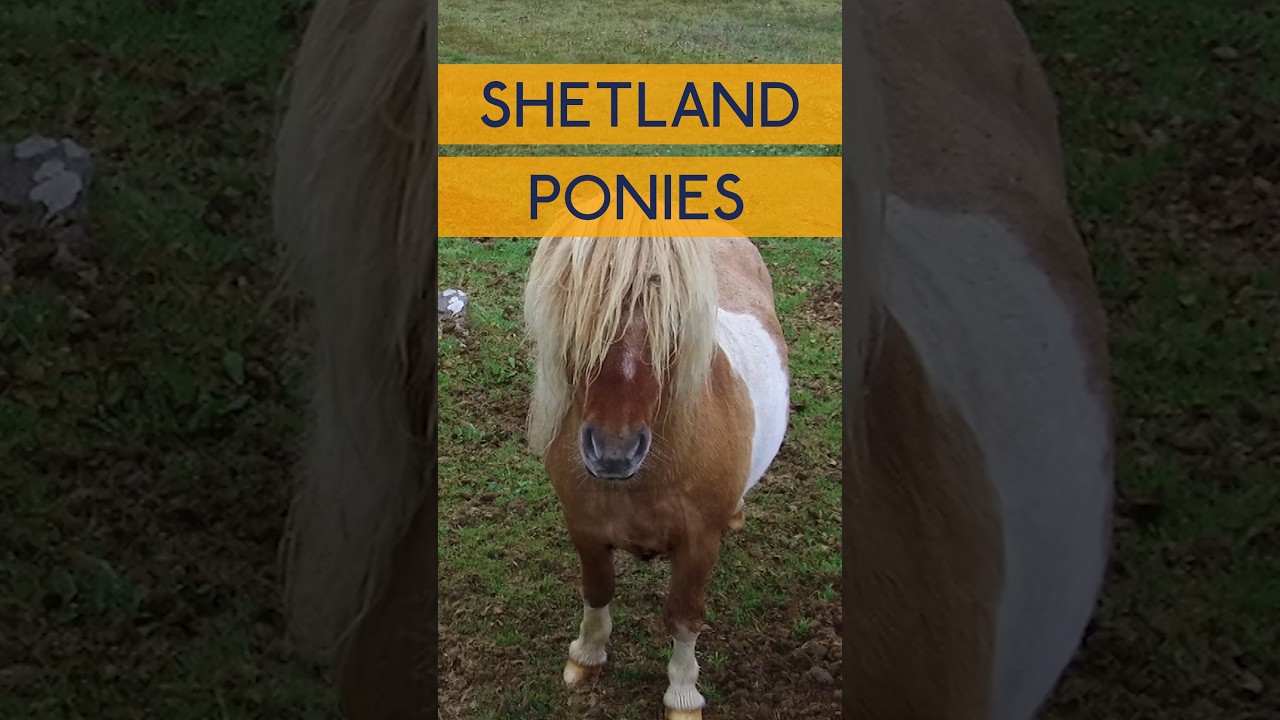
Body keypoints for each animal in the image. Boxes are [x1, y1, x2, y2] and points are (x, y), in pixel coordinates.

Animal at [522, 228, 791, 720]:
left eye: (672, 313)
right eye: (578, 299)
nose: (614, 452)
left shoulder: (699, 544)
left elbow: (684, 616)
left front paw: (682, 695)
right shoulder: (584, 526)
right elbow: (597, 589)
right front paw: (586, 657)